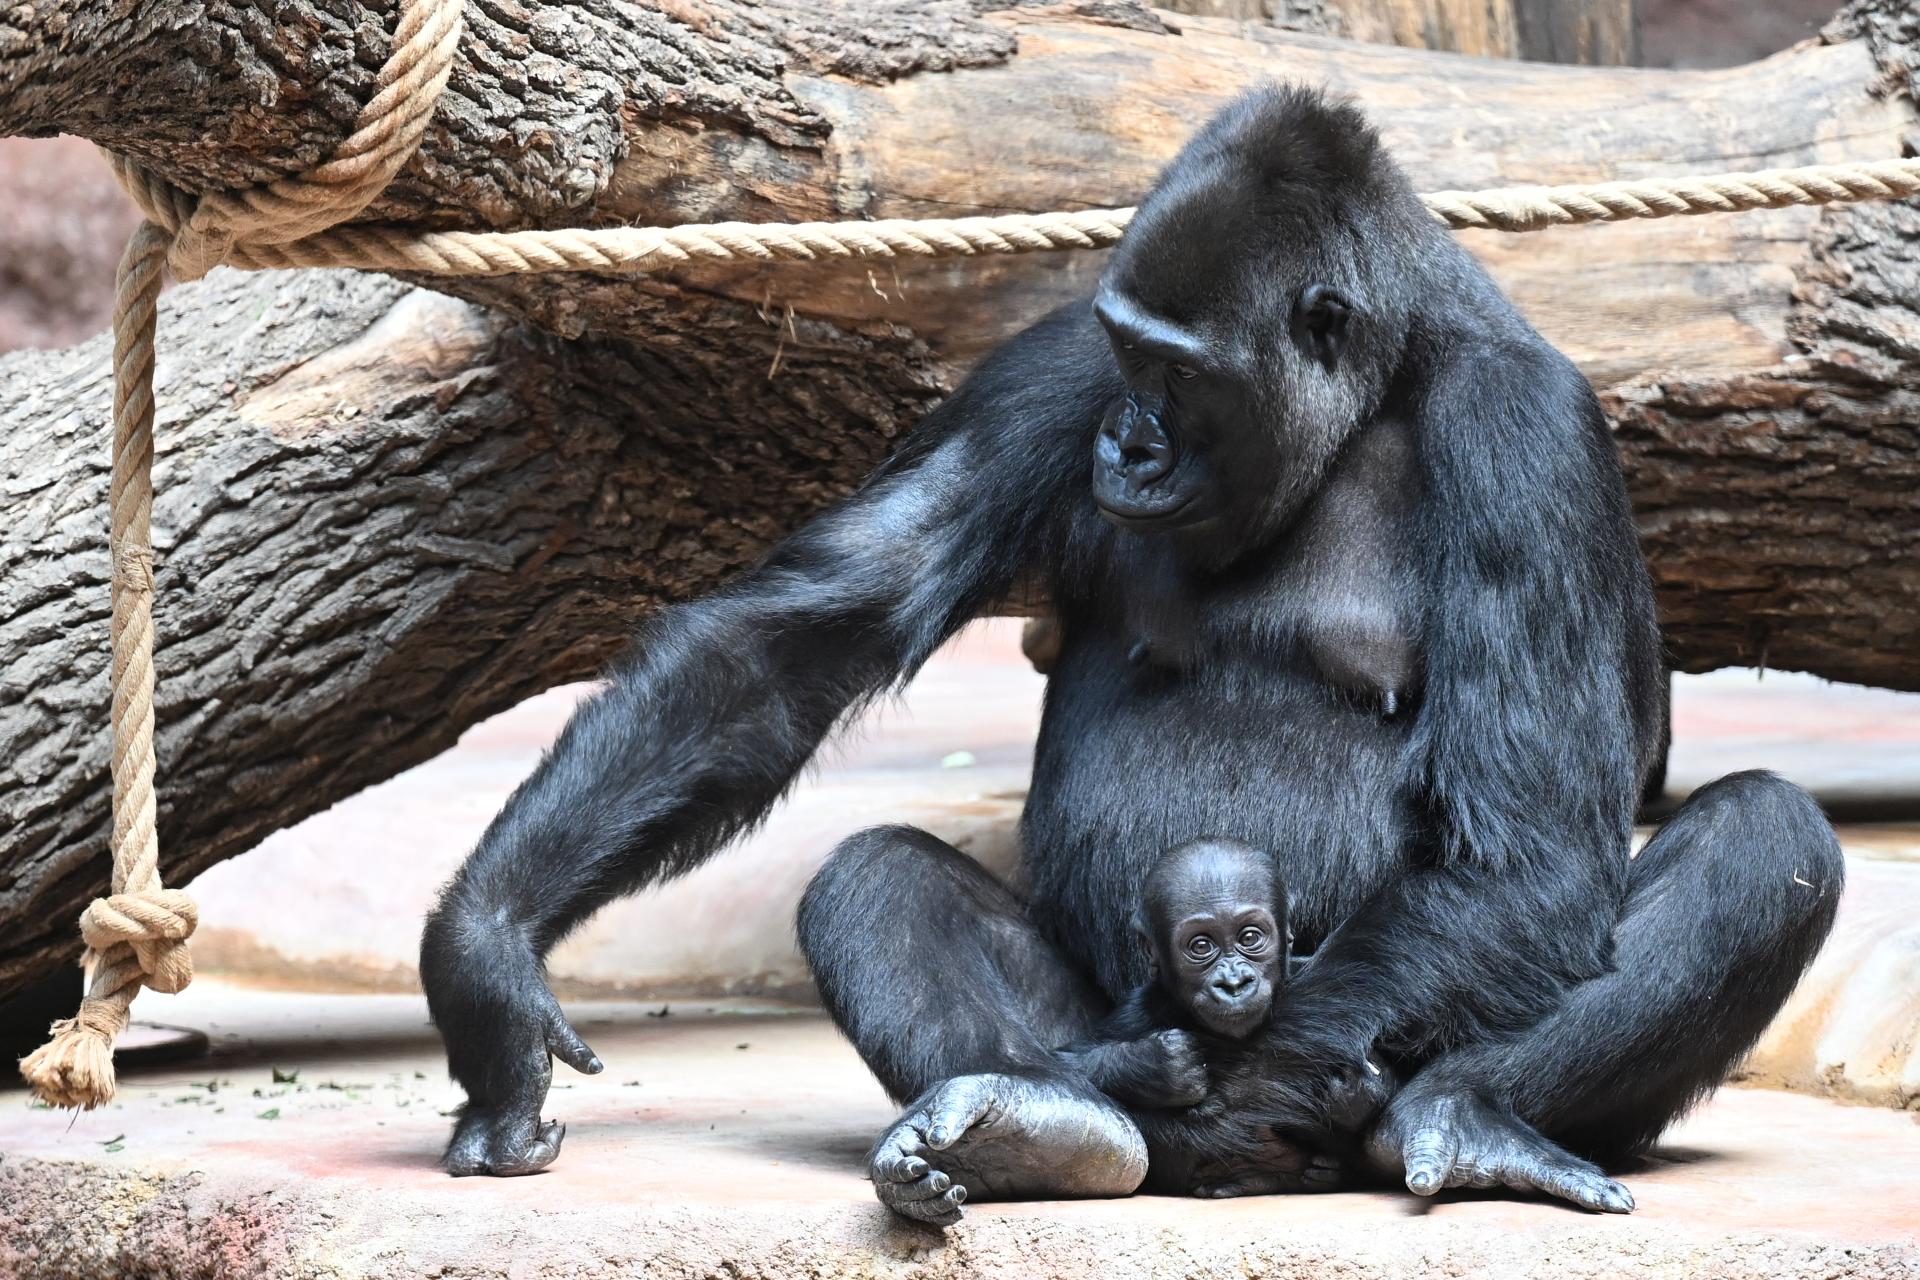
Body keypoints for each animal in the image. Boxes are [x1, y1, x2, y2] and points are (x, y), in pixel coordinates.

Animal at [424, 84, 1843, 1220]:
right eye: (1125, 354)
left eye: (1187, 375)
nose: (1128, 441)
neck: (1374, 385)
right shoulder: (1053, 362)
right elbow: (800, 639)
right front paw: (488, 953)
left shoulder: (1526, 430)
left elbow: (1526, 843)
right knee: (876, 882)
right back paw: (1053, 1117)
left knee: (1765, 842)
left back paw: (1458, 1117)